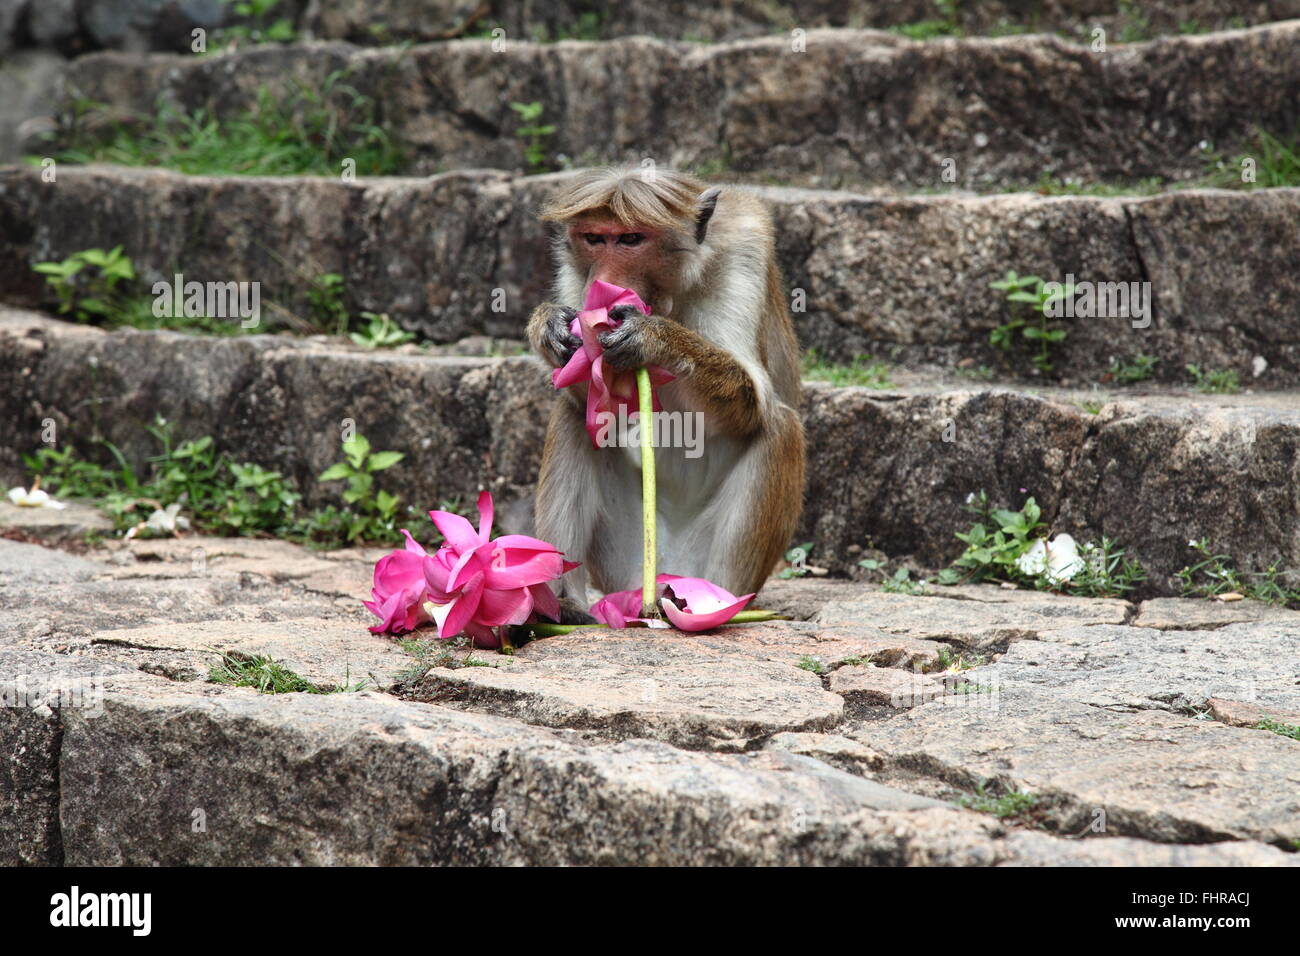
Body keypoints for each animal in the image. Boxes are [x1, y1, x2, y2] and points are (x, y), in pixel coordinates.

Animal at [526, 167, 805, 619]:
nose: (603, 280)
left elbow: (755, 401)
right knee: (572, 415)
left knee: (780, 425)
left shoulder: (744, 254)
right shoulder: (573, 275)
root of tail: (660, 584)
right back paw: (561, 605)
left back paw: (718, 608)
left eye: (630, 239)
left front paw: (654, 338)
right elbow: (591, 400)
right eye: (595, 238)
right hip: (624, 562)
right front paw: (546, 324)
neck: (670, 295)